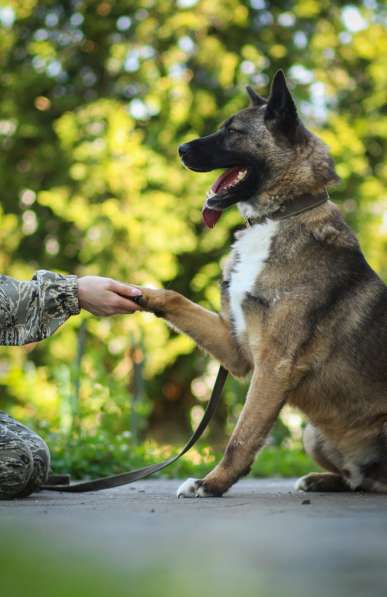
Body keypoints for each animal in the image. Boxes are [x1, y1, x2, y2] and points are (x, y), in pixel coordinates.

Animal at [135, 70, 387, 496]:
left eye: (232, 131)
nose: (180, 149)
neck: (278, 217)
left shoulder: (274, 363)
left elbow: (243, 435)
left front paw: (212, 482)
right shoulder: (239, 352)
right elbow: (177, 299)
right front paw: (139, 294)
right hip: (312, 434)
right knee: (357, 481)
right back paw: (321, 479)